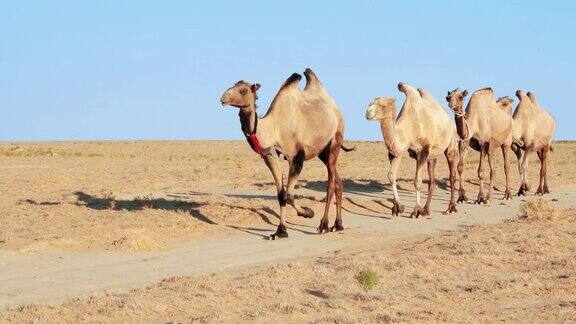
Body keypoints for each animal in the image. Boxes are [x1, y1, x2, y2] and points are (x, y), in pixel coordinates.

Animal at [220, 68, 356, 239]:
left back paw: (324, 225)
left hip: (335, 141)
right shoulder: (270, 155)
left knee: (330, 184)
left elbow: (289, 195)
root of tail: (336, 110)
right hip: (322, 152)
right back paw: (338, 225)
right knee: (338, 181)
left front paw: (308, 212)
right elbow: (281, 195)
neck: (273, 128)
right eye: (232, 85)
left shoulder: (297, 156)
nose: (222, 99)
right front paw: (280, 231)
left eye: (243, 90)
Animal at [364, 83, 460, 218]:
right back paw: (426, 211)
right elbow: (391, 175)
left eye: (383, 105)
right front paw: (398, 208)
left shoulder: (423, 151)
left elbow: (417, 181)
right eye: (370, 103)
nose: (368, 112)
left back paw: (450, 208)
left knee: (452, 175)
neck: (408, 128)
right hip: (432, 156)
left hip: (451, 142)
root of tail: (449, 119)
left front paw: (416, 211)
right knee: (432, 181)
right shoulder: (397, 152)